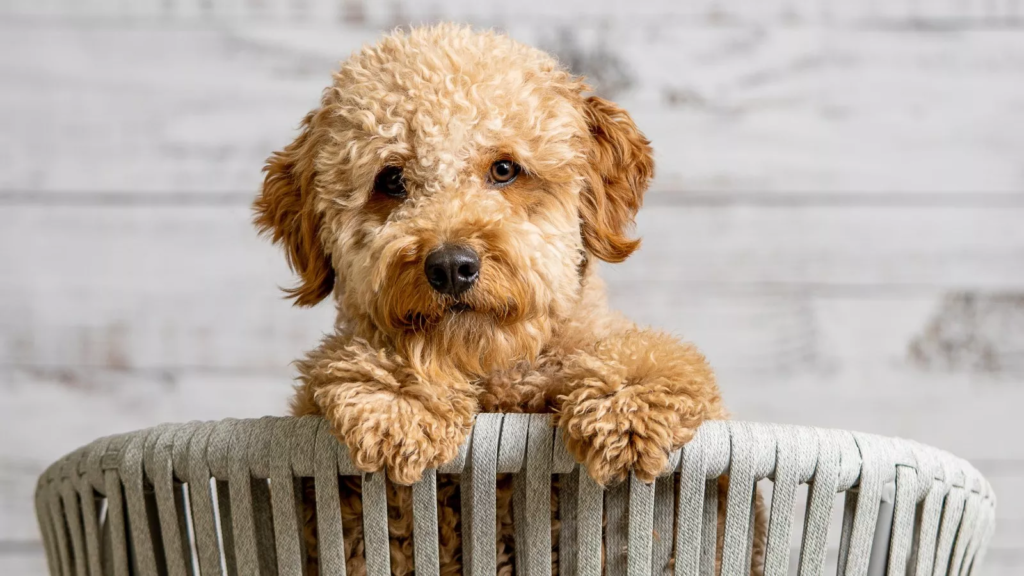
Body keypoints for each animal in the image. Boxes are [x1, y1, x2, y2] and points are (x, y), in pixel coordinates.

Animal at [254, 23, 765, 573]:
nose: (451, 267)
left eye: (504, 169)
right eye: (390, 180)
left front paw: (626, 404)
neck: (496, 374)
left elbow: (663, 361)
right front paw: (397, 401)